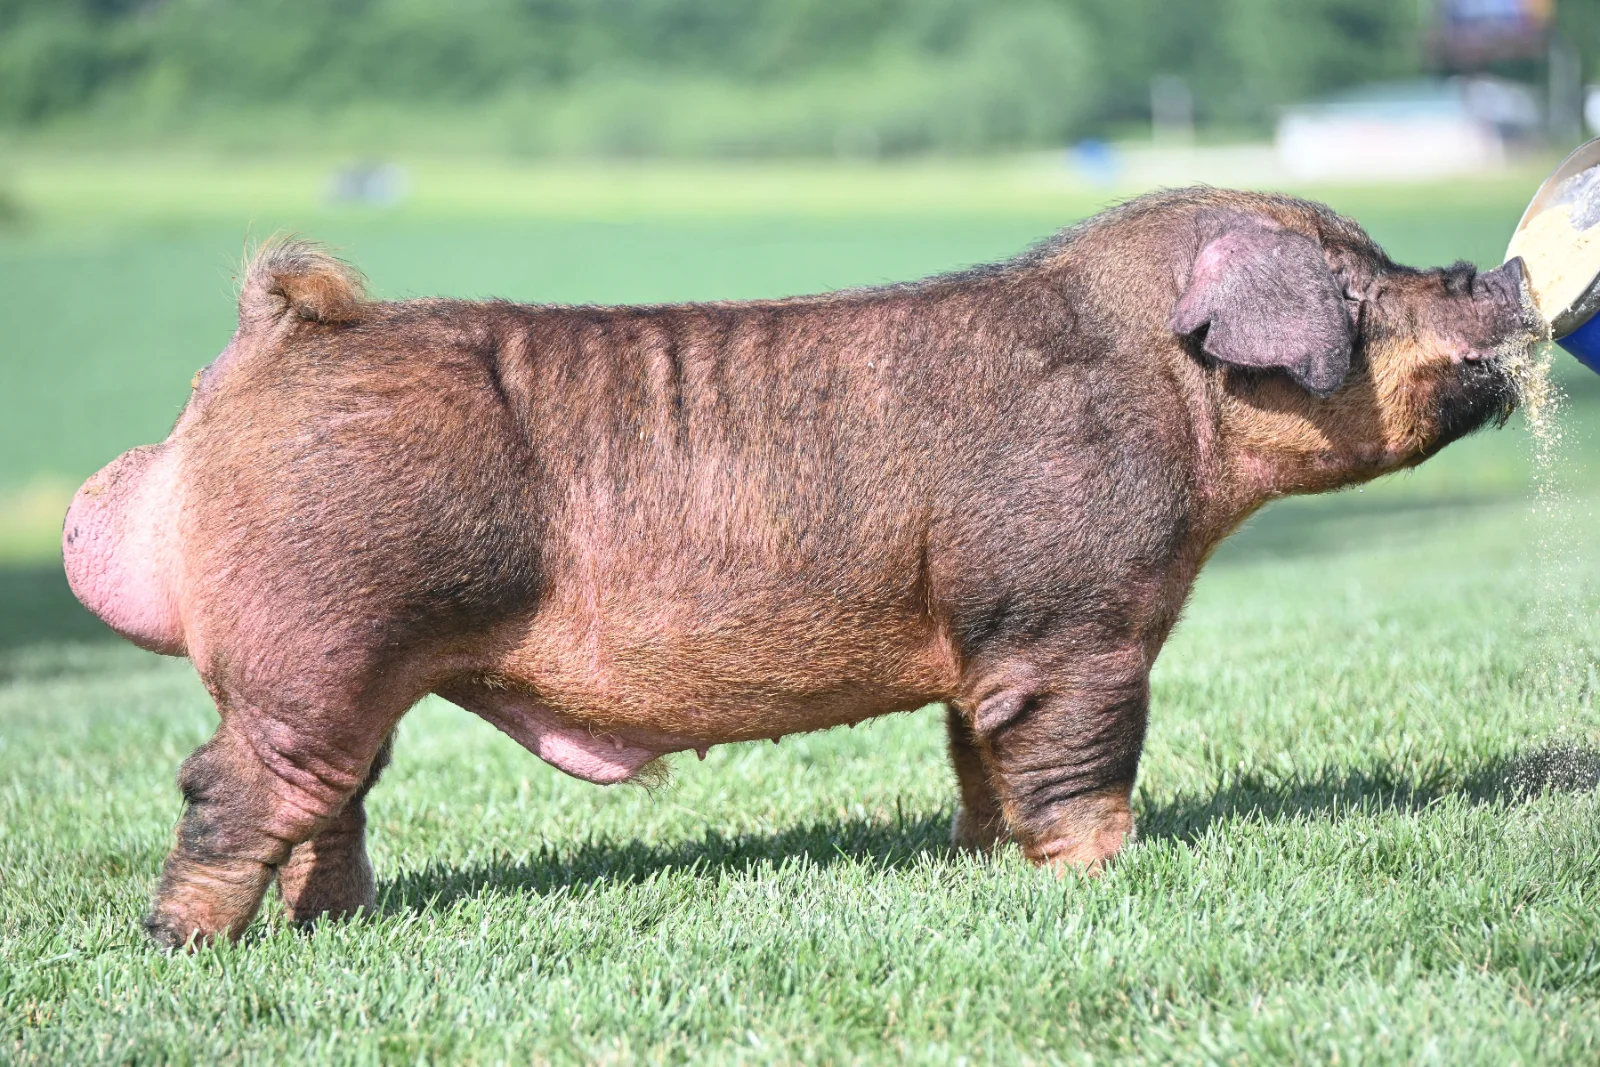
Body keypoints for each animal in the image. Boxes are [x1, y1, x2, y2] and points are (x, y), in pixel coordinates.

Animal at [62, 188, 1536, 948]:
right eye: (1365, 283)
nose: (1507, 266)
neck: (1166, 400)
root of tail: (272, 346)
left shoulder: (985, 641)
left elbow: (979, 758)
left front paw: (983, 864)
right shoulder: (1073, 623)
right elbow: (1083, 759)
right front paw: (1104, 879)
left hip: (341, 673)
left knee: (328, 799)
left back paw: (335, 927)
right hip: (320, 643)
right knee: (227, 785)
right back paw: (185, 946)